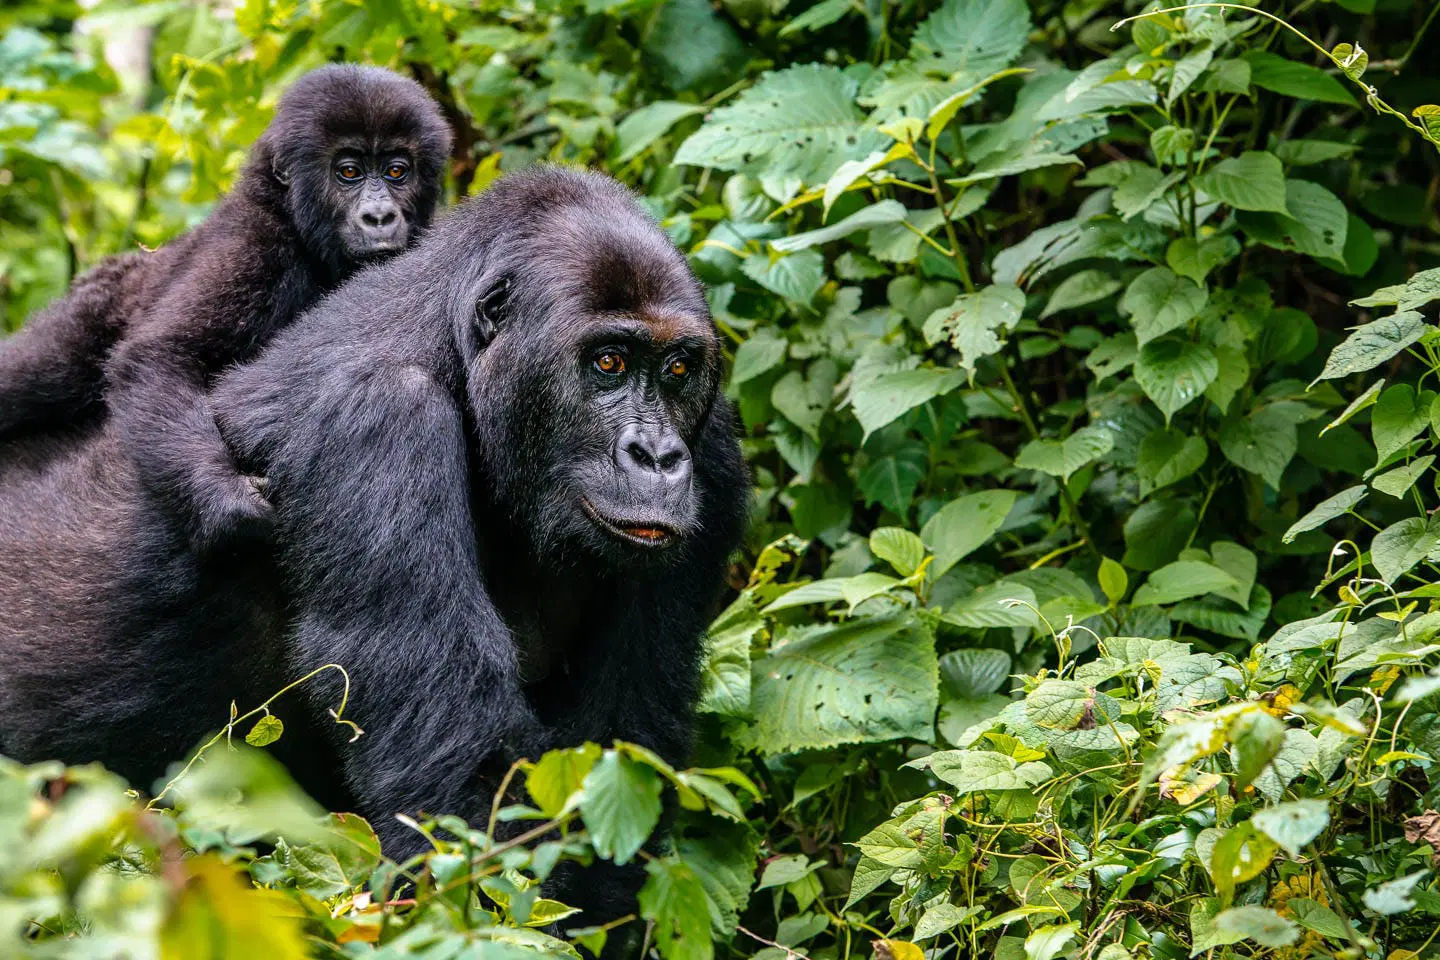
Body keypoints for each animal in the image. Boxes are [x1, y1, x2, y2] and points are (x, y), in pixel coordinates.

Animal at [0, 61, 449, 546]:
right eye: (348, 172)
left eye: (397, 171)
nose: (379, 217)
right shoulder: (254, 246)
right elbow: (162, 356)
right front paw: (224, 497)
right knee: (37, 372)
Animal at [0, 165, 748, 909]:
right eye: (609, 363)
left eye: (678, 370)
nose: (656, 457)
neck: (457, 355)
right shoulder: (379, 417)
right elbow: (459, 798)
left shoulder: (713, 451)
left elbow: (624, 753)